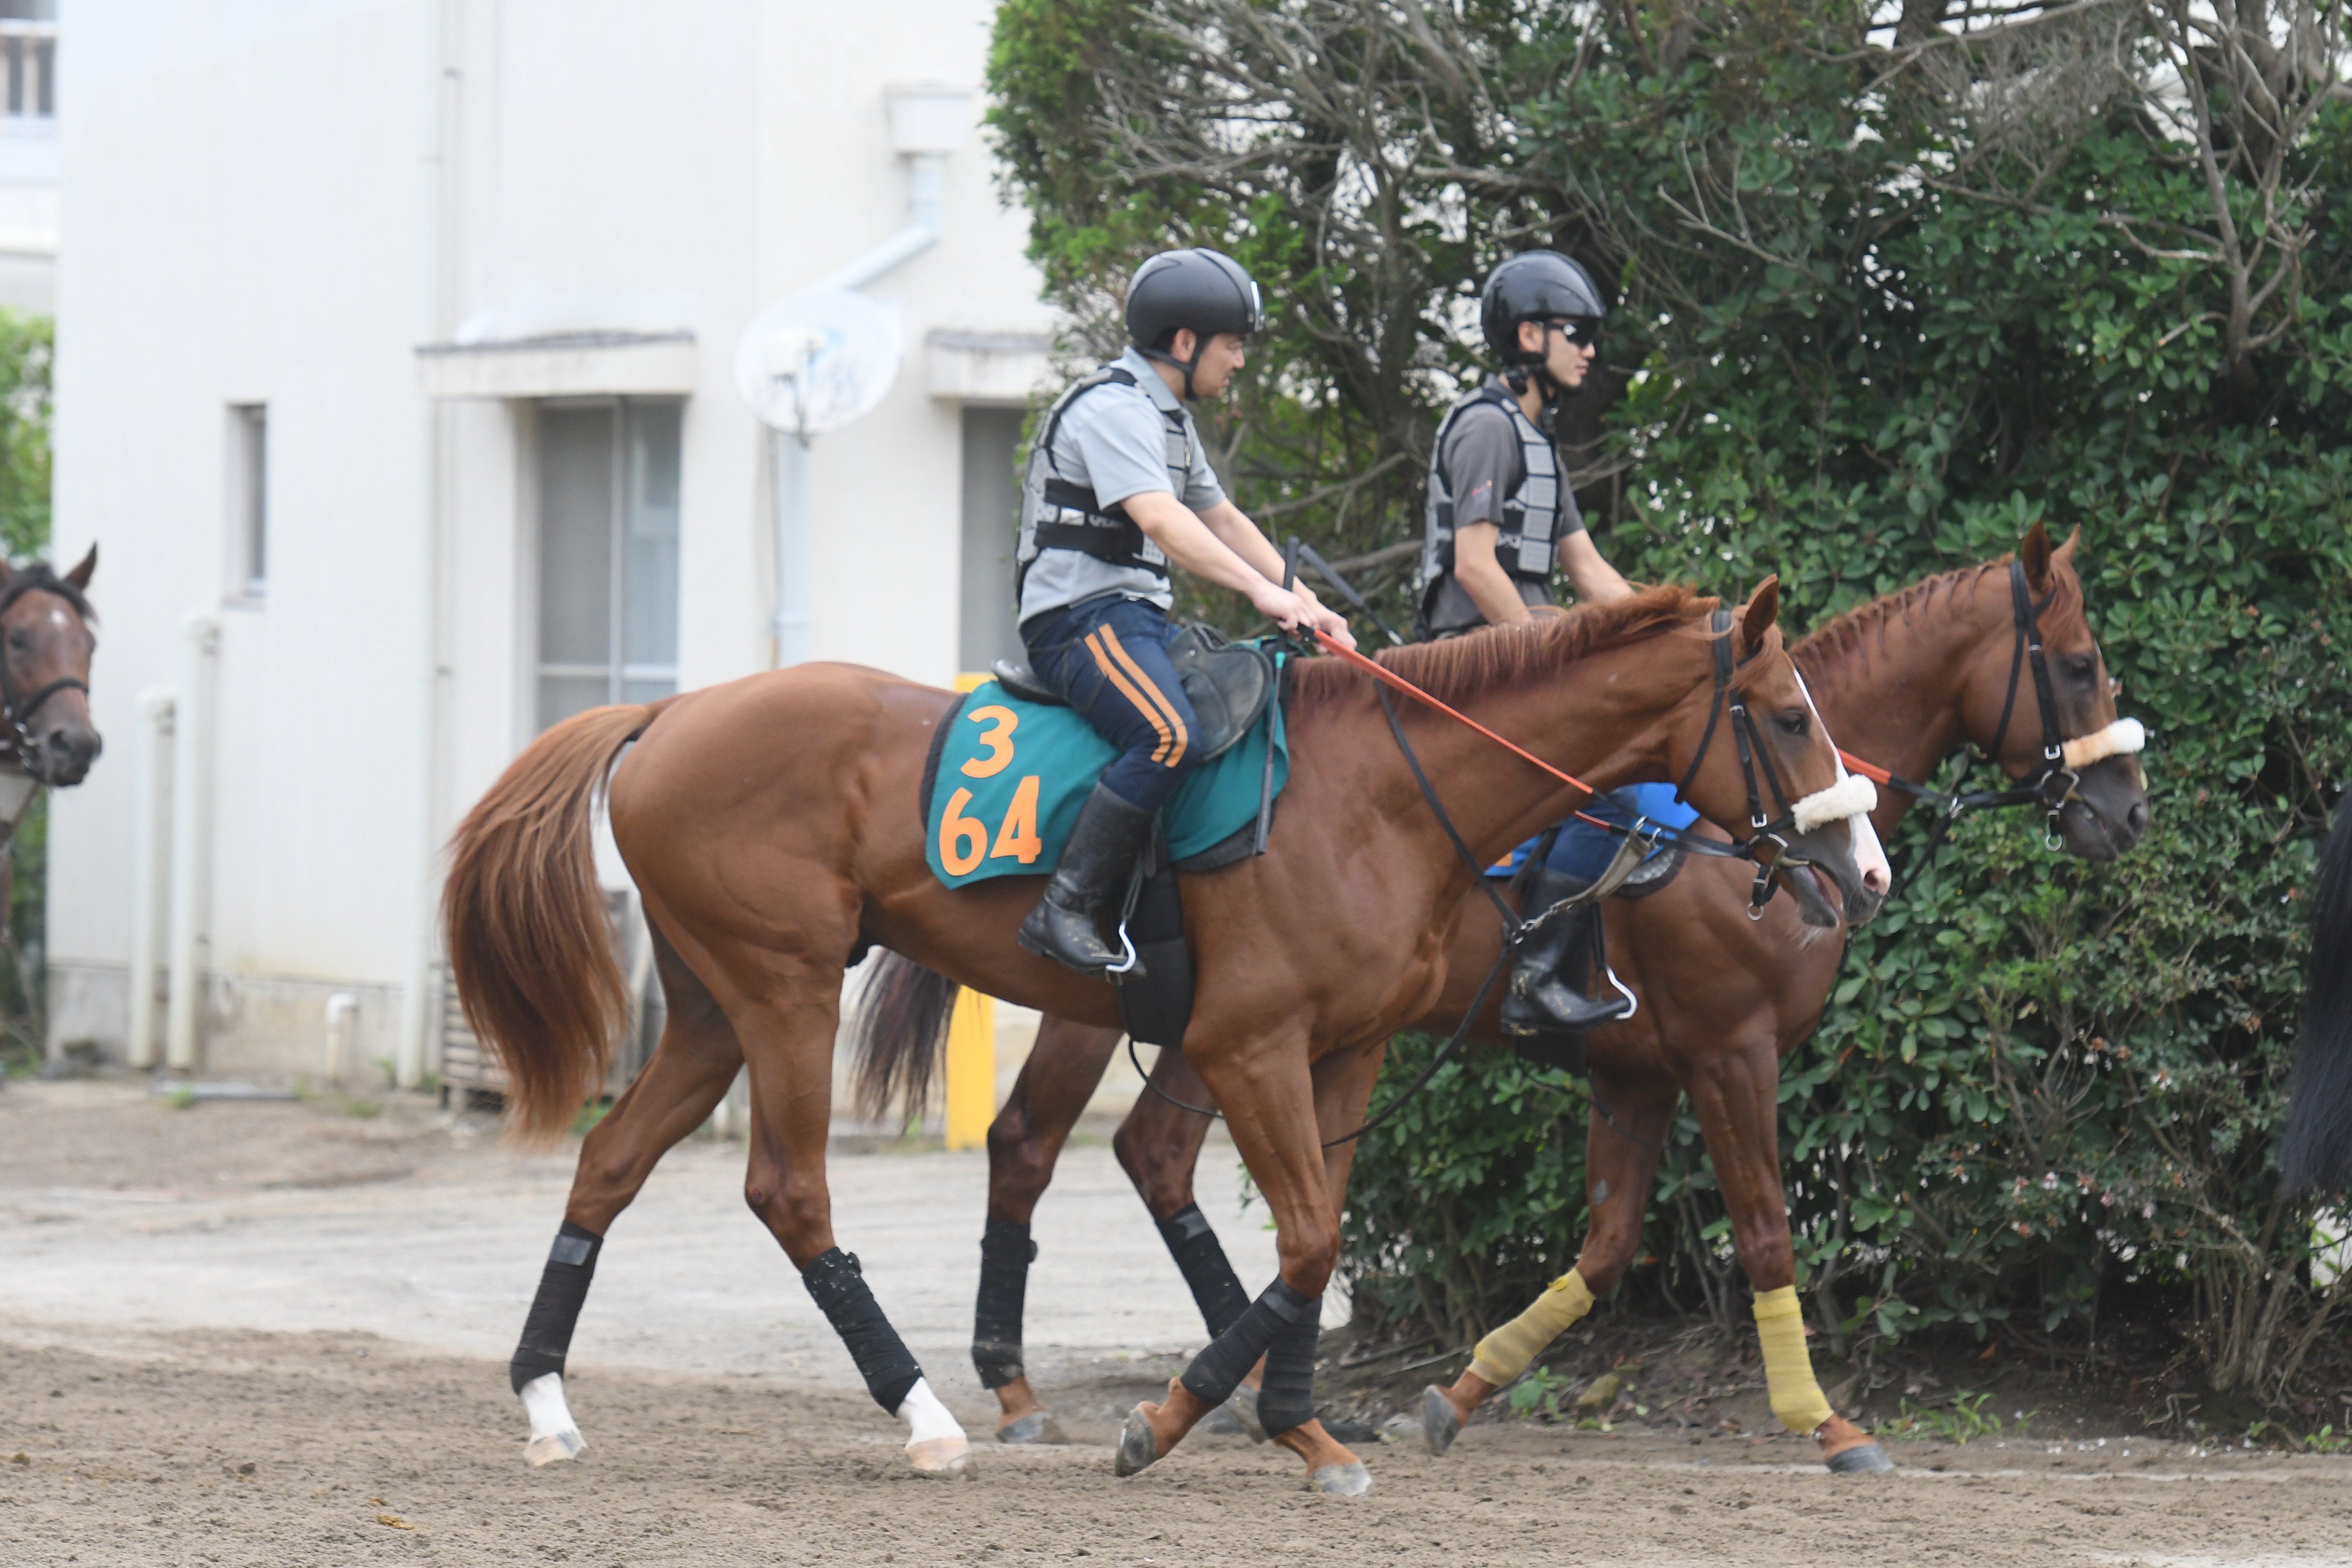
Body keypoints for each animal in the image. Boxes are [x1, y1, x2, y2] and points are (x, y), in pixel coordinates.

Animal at [444, 578, 1873, 1490]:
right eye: (1786, 715)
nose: (1855, 870)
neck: (1384, 795)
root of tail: (669, 714)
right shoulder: (1251, 1046)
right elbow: (1307, 1239)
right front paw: (1184, 1417)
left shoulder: (1346, 1050)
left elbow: (1317, 1239)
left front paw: (1294, 1423)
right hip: (784, 991)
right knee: (793, 1190)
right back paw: (926, 1413)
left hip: (711, 1012)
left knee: (609, 1165)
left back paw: (547, 1401)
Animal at [906, 524, 2147, 1480]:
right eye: (2079, 663)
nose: (2128, 810)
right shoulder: (1729, 1052)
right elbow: (1763, 1232)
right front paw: (1826, 1422)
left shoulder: (1638, 1074)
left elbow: (1601, 1251)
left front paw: (1456, 1396)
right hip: (1120, 1011)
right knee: (1034, 1145)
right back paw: (1027, 1393)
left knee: (1151, 1155)